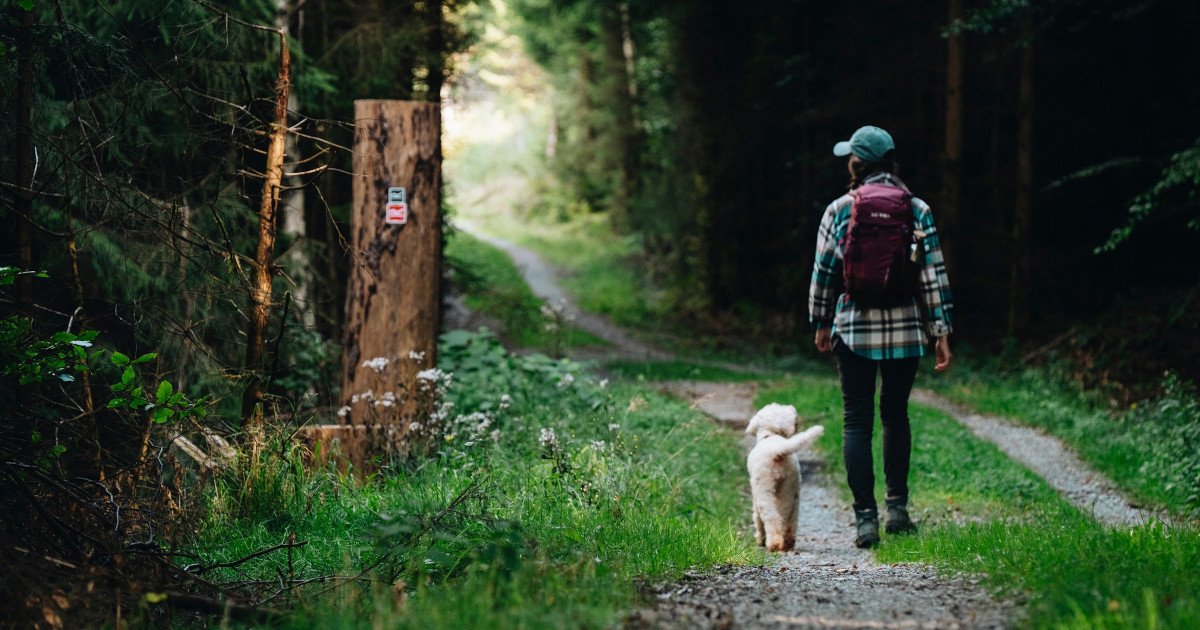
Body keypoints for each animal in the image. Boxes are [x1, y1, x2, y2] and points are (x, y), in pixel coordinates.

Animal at [744, 403, 820, 549]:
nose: (798, 422)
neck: (770, 435)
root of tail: (778, 451)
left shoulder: (756, 495)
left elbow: (757, 518)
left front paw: (760, 539)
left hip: (764, 489)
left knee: (772, 518)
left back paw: (773, 543)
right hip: (790, 487)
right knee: (789, 517)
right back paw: (788, 541)